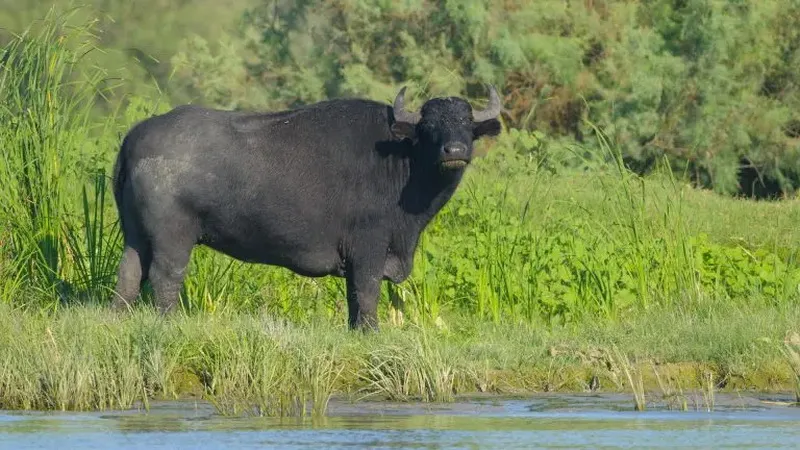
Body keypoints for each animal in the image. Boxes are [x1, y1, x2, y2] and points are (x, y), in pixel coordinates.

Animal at [110, 85, 504, 330]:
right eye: (429, 126)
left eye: (466, 123)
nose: (454, 151)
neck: (401, 161)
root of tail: (136, 136)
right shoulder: (370, 247)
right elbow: (368, 292)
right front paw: (372, 332)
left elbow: (353, 299)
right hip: (173, 236)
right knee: (165, 277)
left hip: (135, 234)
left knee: (129, 273)